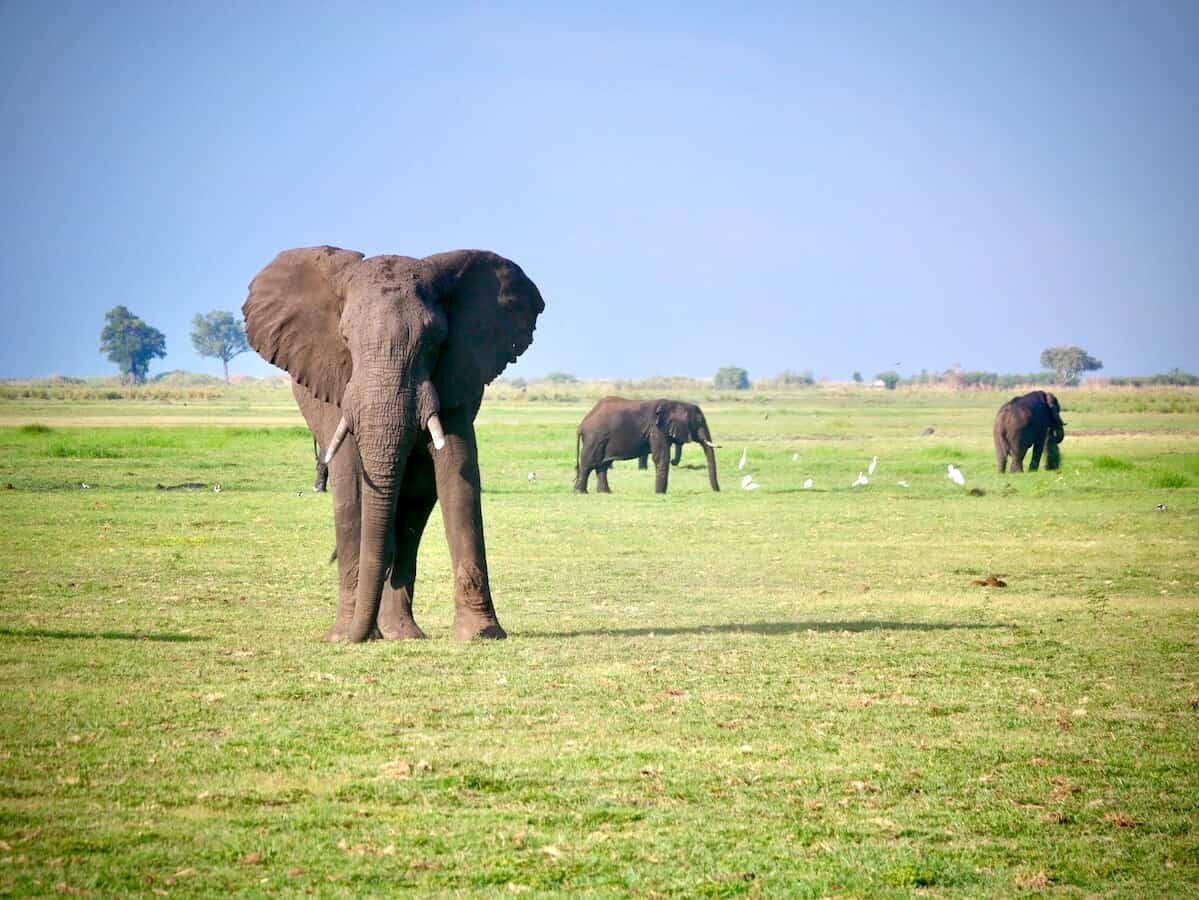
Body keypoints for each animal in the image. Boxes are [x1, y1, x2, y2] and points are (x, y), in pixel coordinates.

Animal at [243, 245, 544, 642]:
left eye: (434, 341)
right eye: (346, 340)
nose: (358, 635)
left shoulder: (458, 373)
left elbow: (457, 473)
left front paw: (481, 634)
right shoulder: (337, 383)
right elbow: (353, 480)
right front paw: (346, 636)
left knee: (414, 502)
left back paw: (401, 633)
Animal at [574, 397, 719, 493]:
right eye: (699, 422)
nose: (717, 491)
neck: (675, 403)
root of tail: (582, 423)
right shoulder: (656, 429)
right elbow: (661, 457)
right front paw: (660, 494)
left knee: (602, 465)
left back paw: (605, 492)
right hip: (594, 438)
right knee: (588, 464)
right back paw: (581, 493)